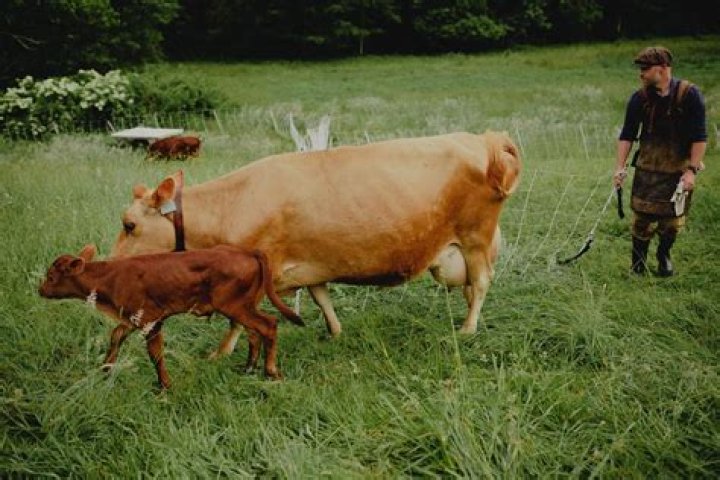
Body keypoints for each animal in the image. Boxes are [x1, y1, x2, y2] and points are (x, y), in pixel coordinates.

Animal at [39, 244, 304, 389]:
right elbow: (116, 337)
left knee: (268, 325)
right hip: (244, 305)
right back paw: (248, 368)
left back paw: (271, 372)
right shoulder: (133, 319)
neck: (110, 278)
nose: (40, 290)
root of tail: (247, 251)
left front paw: (165, 386)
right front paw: (105, 369)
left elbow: (155, 354)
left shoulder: (151, 319)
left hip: (234, 305)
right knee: (253, 332)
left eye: (51, 277)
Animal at [112, 131, 521, 339]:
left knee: (481, 283)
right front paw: (335, 332)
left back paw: (468, 329)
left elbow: (236, 322)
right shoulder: (311, 265)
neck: (231, 204)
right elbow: (321, 298)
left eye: (129, 225)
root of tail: (484, 138)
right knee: (471, 287)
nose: (112, 265)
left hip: (475, 237)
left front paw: (220, 355)